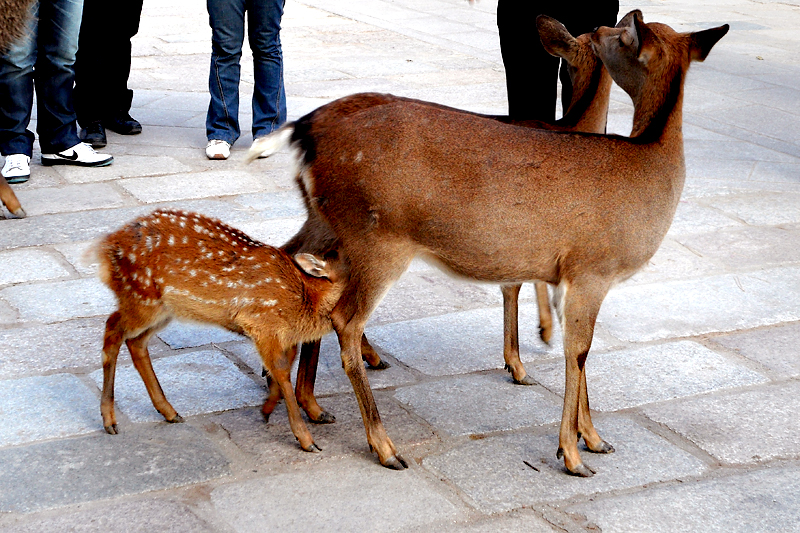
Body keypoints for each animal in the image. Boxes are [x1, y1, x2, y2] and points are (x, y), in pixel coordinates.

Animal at [255, 10, 724, 474]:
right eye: (620, 34)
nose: (606, 26)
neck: (649, 164)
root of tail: (304, 131)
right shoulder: (592, 268)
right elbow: (578, 350)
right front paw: (572, 452)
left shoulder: (567, 273)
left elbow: (570, 339)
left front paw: (594, 438)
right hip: (377, 238)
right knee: (343, 318)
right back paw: (382, 445)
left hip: (328, 223)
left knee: (289, 264)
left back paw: (297, 407)